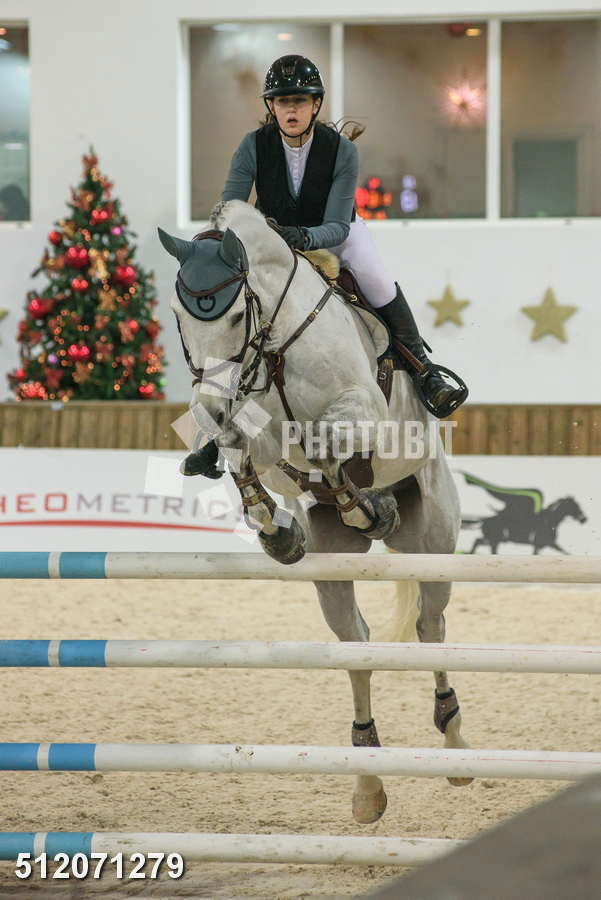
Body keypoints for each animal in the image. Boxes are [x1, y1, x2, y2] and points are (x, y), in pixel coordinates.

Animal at [158, 199, 471, 824]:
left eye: (234, 317)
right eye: (180, 317)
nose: (209, 405)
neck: (273, 344)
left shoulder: (360, 407)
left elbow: (327, 440)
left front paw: (365, 505)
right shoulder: (256, 433)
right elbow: (243, 449)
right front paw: (278, 531)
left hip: (432, 540)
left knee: (430, 625)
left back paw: (453, 746)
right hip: (333, 571)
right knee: (356, 644)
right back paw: (368, 783)